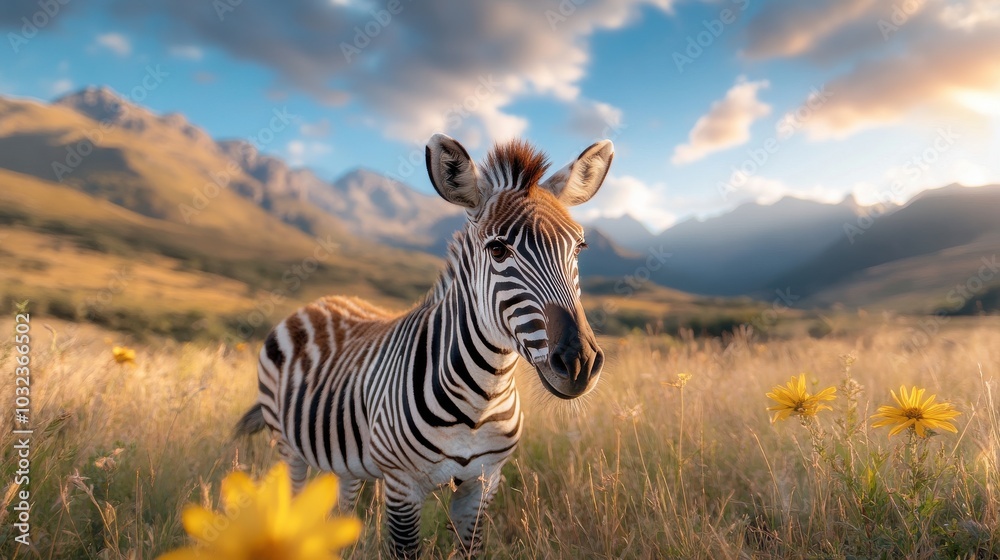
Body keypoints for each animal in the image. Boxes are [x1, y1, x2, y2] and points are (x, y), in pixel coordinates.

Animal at [235, 133, 613, 558]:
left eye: (579, 249)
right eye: (498, 250)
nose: (579, 363)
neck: (482, 398)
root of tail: (318, 301)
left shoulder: (484, 483)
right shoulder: (402, 486)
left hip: (348, 462)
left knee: (344, 506)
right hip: (287, 447)